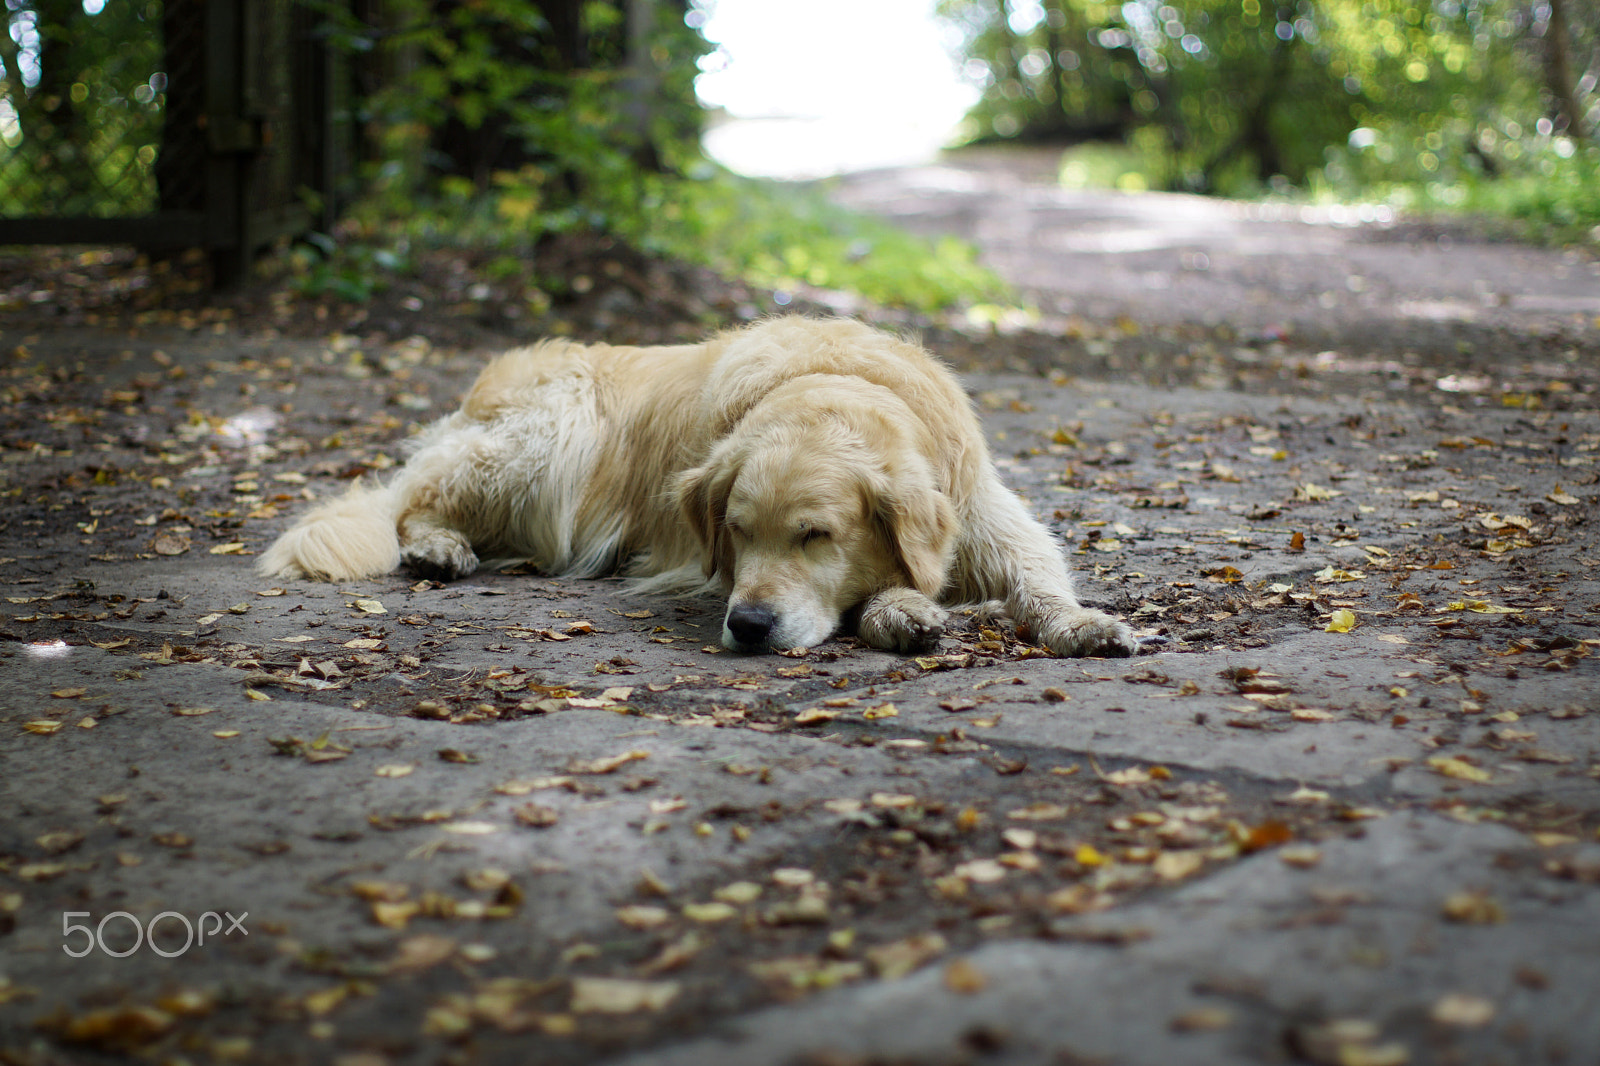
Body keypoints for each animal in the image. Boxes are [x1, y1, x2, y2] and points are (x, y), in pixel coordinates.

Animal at [262, 313, 1139, 656]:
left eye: (816, 535)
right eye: (737, 532)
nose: (747, 626)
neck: (837, 382)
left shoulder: (983, 508)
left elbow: (1036, 576)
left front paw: (1081, 624)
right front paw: (900, 611)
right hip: (552, 435)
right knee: (410, 502)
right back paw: (438, 548)